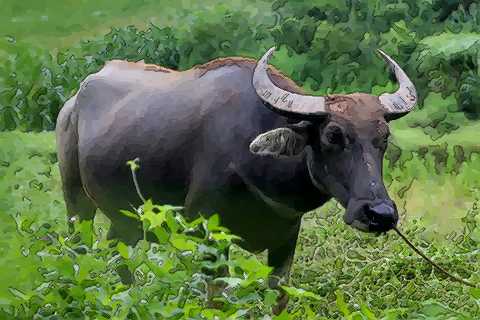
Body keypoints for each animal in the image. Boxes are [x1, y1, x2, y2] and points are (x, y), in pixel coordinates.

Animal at [55, 47, 416, 304]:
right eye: (332, 135)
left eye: (383, 138)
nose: (379, 213)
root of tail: (73, 103)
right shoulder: (207, 233)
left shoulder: (286, 238)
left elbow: (277, 296)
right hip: (76, 202)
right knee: (79, 250)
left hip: (127, 218)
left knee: (119, 255)